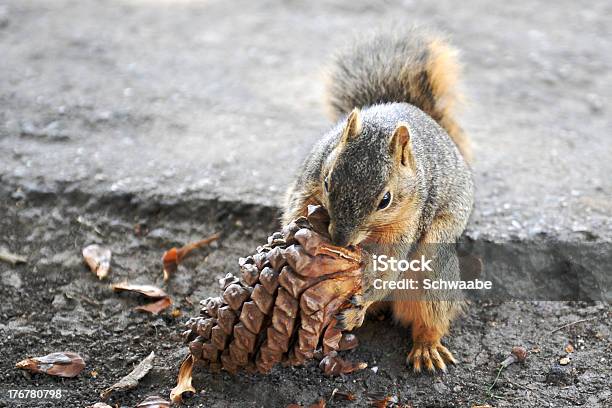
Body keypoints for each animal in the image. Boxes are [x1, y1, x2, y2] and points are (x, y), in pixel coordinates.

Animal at [280, 28, 474, 372]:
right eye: (328, 182)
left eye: (385, 200)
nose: (339, 239)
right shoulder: (308, 183)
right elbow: (294, 209)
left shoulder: (406, 224)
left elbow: (388, 266)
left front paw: (363, 300)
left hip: (435, 268)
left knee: (432, 309)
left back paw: (426, 347)